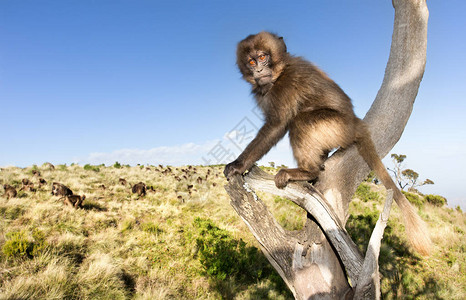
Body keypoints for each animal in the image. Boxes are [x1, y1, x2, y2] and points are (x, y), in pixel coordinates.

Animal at [224, 31, 432, 255]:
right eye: (251, 61)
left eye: (263, 57)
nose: (259, 70)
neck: (280, 72)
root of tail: (356, 123)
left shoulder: (286, 85)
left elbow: (277, 125)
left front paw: (238, 165)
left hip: (336, 126)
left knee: (299, 121)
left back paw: (308, 171)